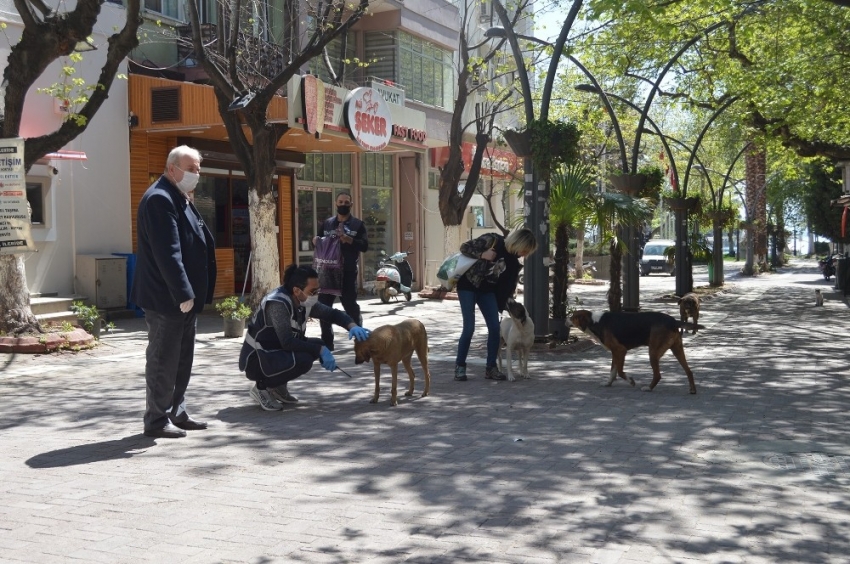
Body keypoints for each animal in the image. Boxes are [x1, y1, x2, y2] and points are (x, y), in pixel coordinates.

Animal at [568, 310, 704, 394]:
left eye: (573, 317)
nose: (565, 319)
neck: (595, 322)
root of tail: (673, 321)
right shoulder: (615, 353)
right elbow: (613, 371)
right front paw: (608, 383)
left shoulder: (620, 350)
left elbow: (620, 372)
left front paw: (631, 381)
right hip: (677, 349)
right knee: (689, 371)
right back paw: (692, 390)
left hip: (653, 352)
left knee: (658, 375)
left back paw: (648, 388)